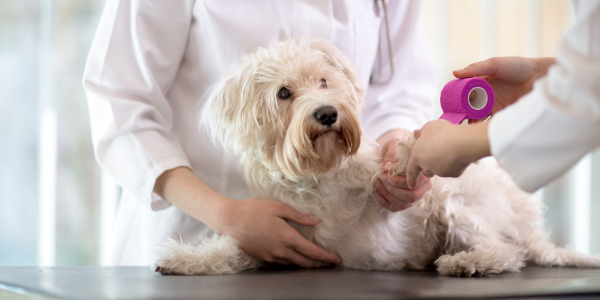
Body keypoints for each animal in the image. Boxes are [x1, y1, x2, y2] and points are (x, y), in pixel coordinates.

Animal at [152, 37, 596, 276]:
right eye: (284, 93)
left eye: (323, 81)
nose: (327, 113)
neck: (317, 174)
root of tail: (529, 224)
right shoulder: (277, 237)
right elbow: (230, 250)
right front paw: (184, 259)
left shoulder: (394, 196)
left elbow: (389, 177)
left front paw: (406, 153)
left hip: (458, 205)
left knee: (508, 252)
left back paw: (467, 261)